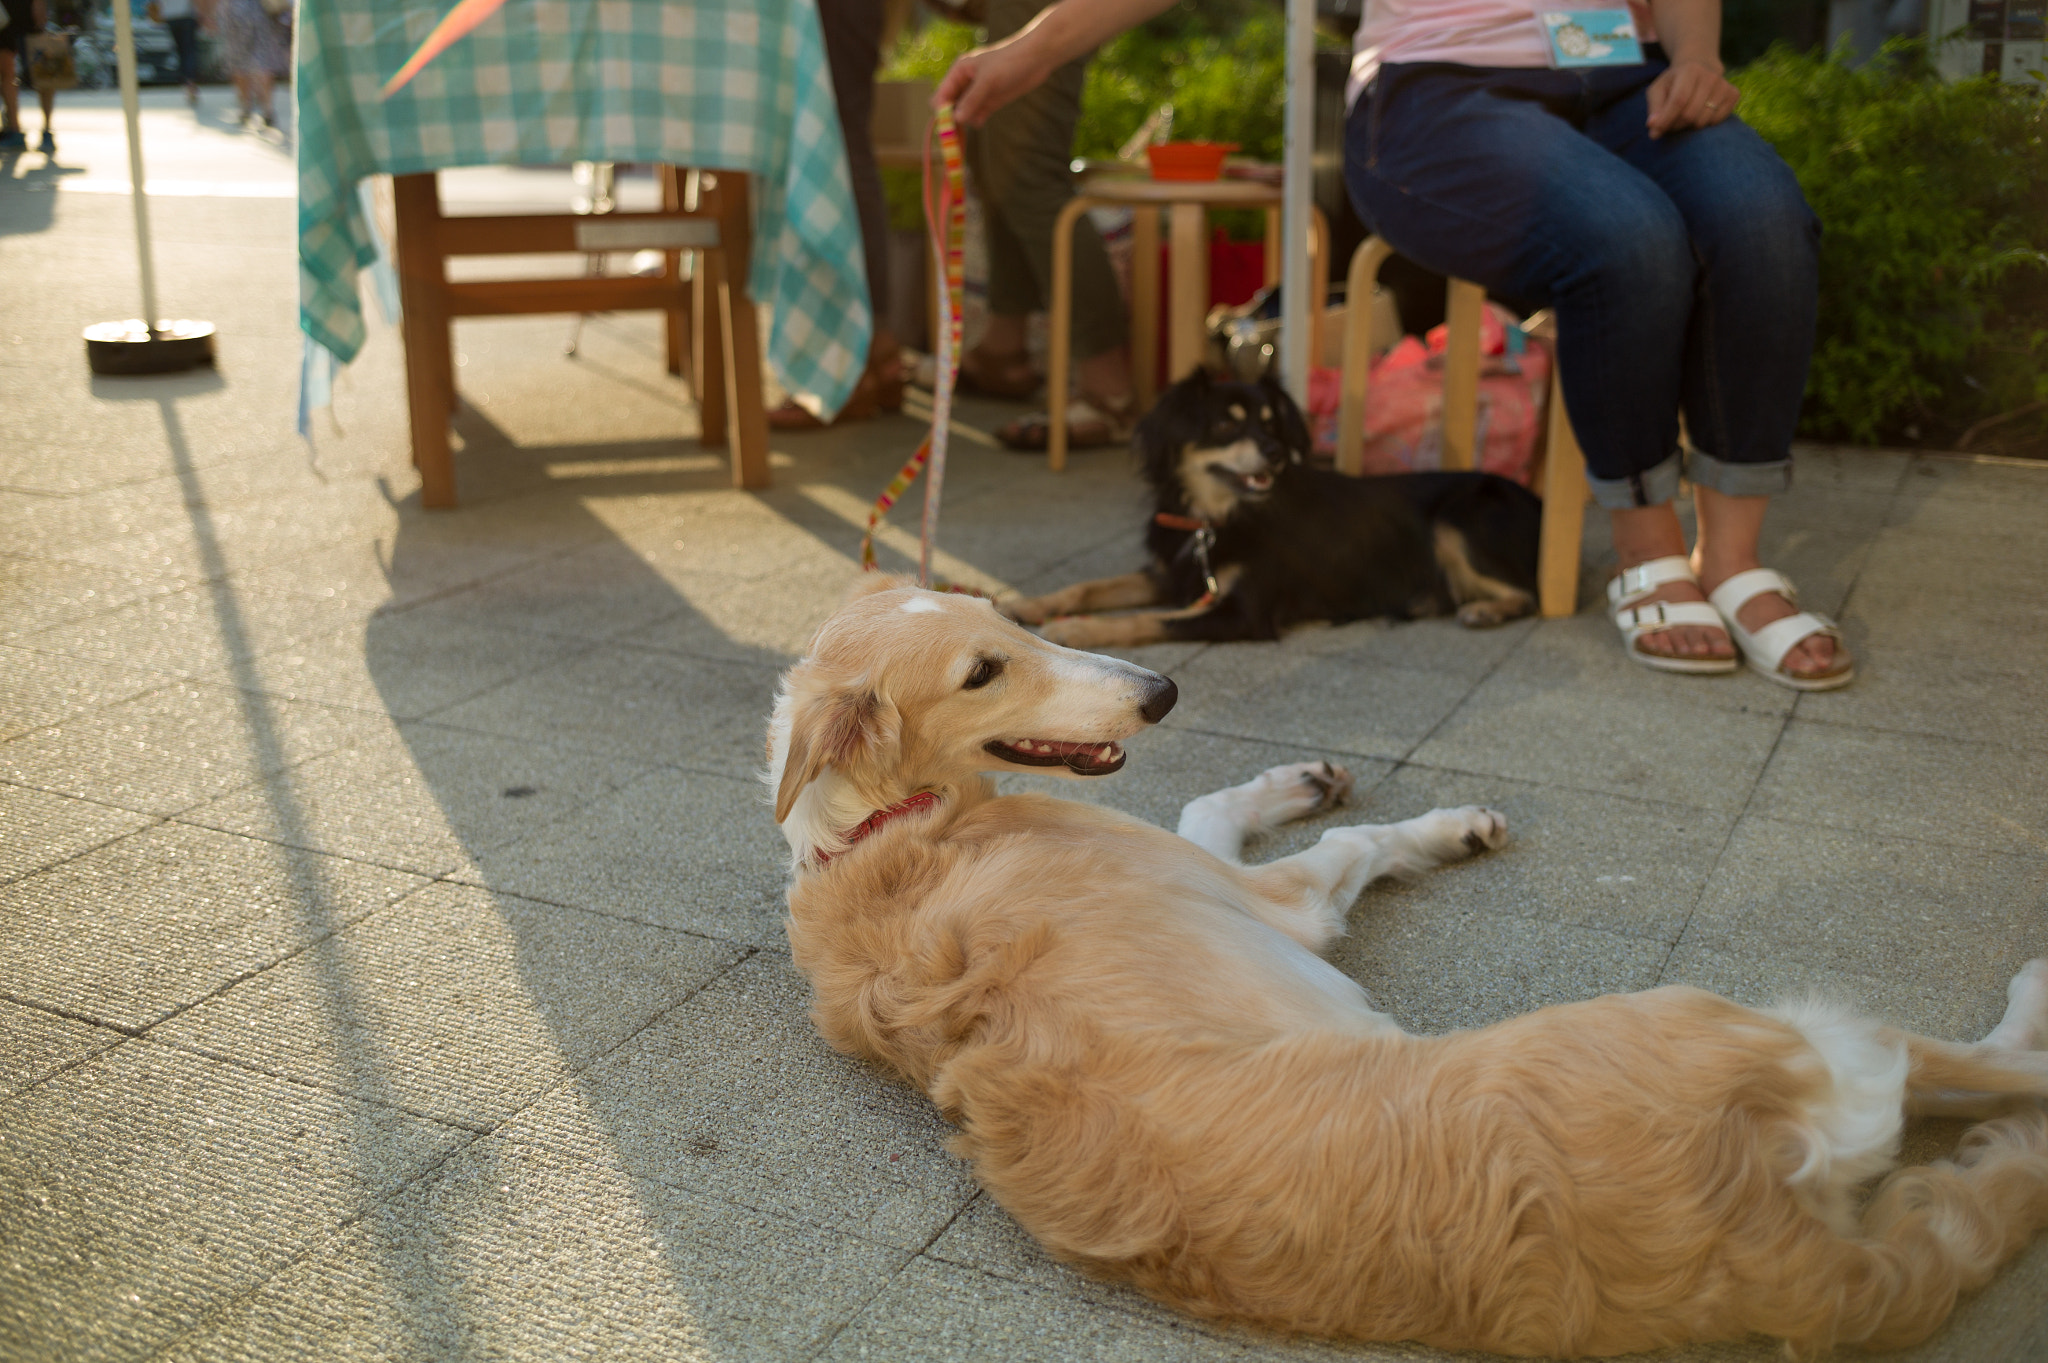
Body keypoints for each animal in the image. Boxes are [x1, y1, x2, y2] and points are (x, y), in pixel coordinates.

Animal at [761, 577, 2048, 1358]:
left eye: (1012, 625)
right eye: (979, 671)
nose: (1165, 688)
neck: (870, 834)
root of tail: (1777, 1259)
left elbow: (1222, 800)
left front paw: (1300, 777)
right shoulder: (1278, 909)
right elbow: (1324, 838)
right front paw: (1431, 822)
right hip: (1763, 1023)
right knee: (1996, 1066)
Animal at [999, 368, 1540, 650]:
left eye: (1271, 424)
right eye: (1225, 425)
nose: (1276, 453)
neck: (1217, 518)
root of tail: (1537, 500)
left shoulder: (1241, 613)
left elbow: (1149, 620)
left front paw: (1074, 630)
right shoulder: (1176, 571)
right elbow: (1090, 586)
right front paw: (1031, 605)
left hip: (1457, 519)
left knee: (1528, 594)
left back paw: (1485, 610)